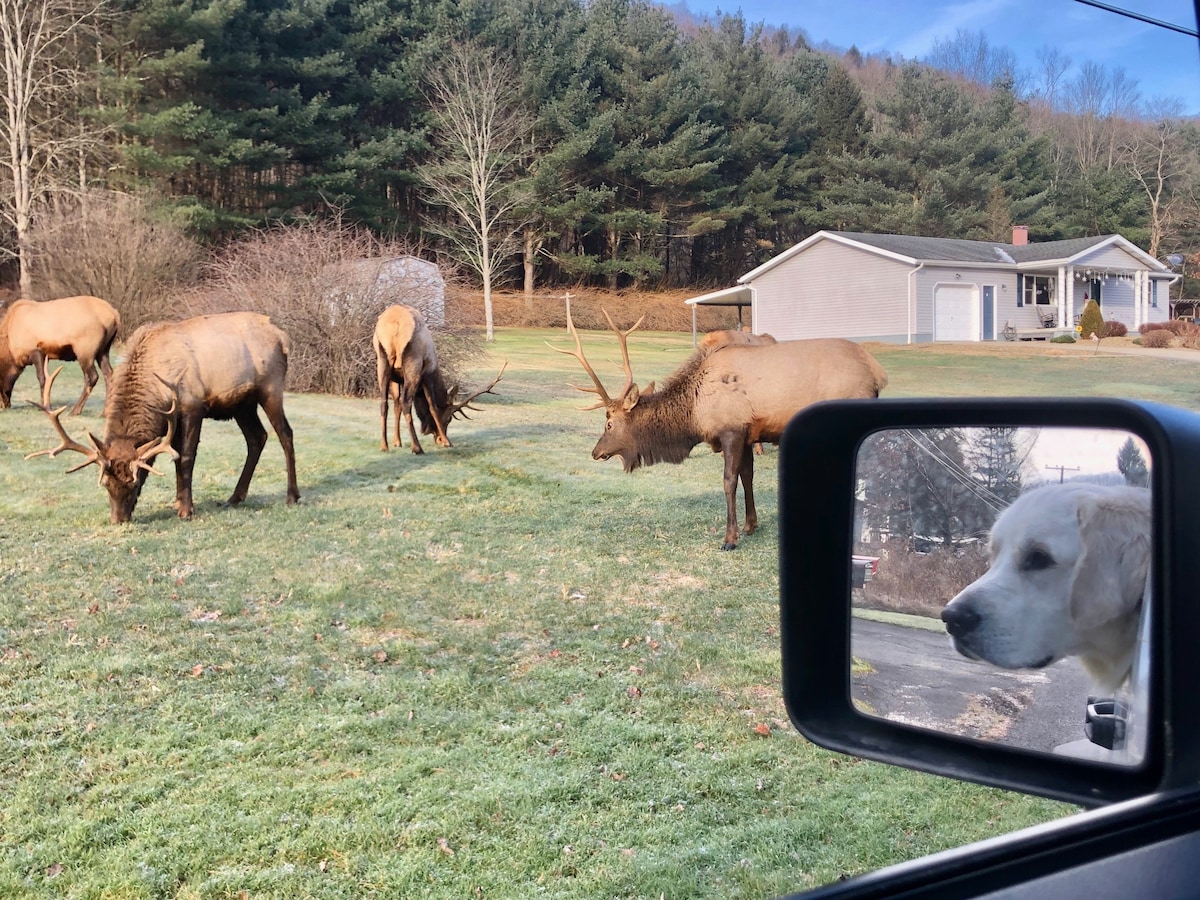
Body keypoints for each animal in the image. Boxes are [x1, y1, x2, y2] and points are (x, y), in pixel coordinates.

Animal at [27, 312, 298, 525]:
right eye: (105, 484)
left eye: (135, 483)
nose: (118, 520)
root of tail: (283, 337)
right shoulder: (172, 418)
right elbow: (175, 457)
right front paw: (178, 502)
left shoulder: (192, 406)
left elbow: (186, 457)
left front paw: (186, 510)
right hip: (242, 404)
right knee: (257, 437)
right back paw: (234, 498)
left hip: (271, 387)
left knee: (285, 434)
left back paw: (292, 496)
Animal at [374, 304, 506, 458]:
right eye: (448, 418)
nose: (438, 439)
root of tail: (394, 325)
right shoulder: (428, 372)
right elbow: (433, 407)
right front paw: (447, 442)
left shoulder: (397, 379)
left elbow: (396, 405)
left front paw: (397, 442)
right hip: (413, 363)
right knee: (406, 402)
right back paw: (417, 448)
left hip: (382, 362)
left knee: (384, 403)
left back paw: (384, 446)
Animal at [549, 309, 883, 549]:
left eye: (608, 423)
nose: (595, 452)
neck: (694, 414)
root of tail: (877, 372)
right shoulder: (748, 433)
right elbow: (747, 477)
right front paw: (750, 526)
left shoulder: (731, 430)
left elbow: (728, 482)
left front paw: (729, 538)